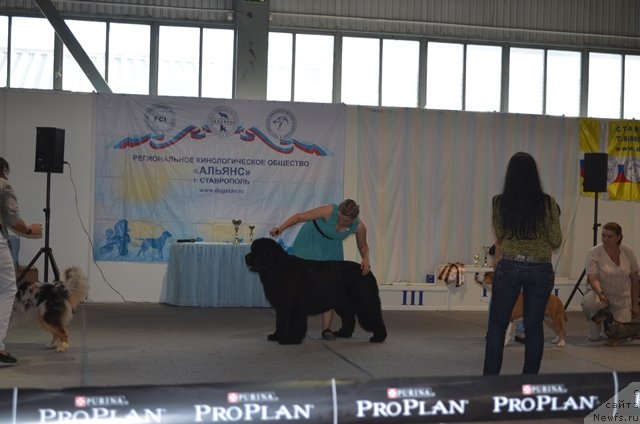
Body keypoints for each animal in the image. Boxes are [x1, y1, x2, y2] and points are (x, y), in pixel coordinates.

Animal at [244, 238, 384, 344]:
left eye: (257, 252)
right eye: (252, 250)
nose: (246, 257)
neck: (277, 267)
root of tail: (367, 271)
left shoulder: (294, 307)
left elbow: (293, 324)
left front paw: (290, 339)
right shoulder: (282, 307)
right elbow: (281, 322)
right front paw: (276, 336)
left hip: (364, 302)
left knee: (374, 317)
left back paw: (379, 337)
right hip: (344, 304)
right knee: (349, 319)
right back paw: (343, 333)